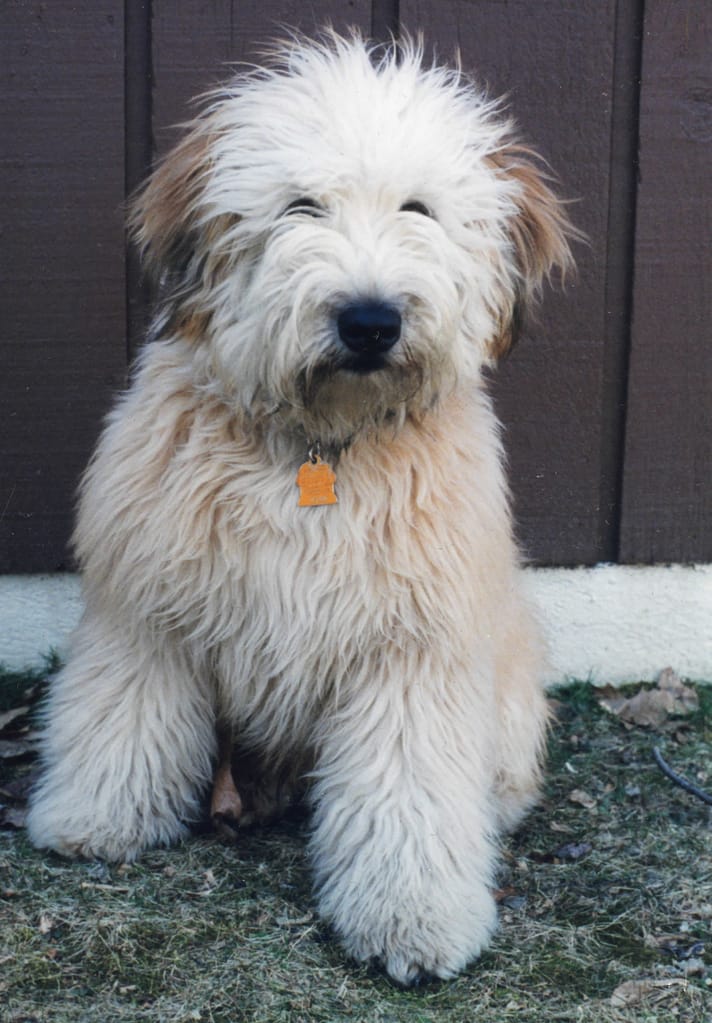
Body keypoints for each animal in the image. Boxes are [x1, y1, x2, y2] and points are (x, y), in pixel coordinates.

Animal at [27, 31, 576, 982]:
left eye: (420, 209)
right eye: (301, 206)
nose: (370, 321)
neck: (318, 445)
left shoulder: (412, 649)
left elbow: (409, 791)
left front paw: (413, 917)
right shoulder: (147, 608)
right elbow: (122, 712)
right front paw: (97, 816)